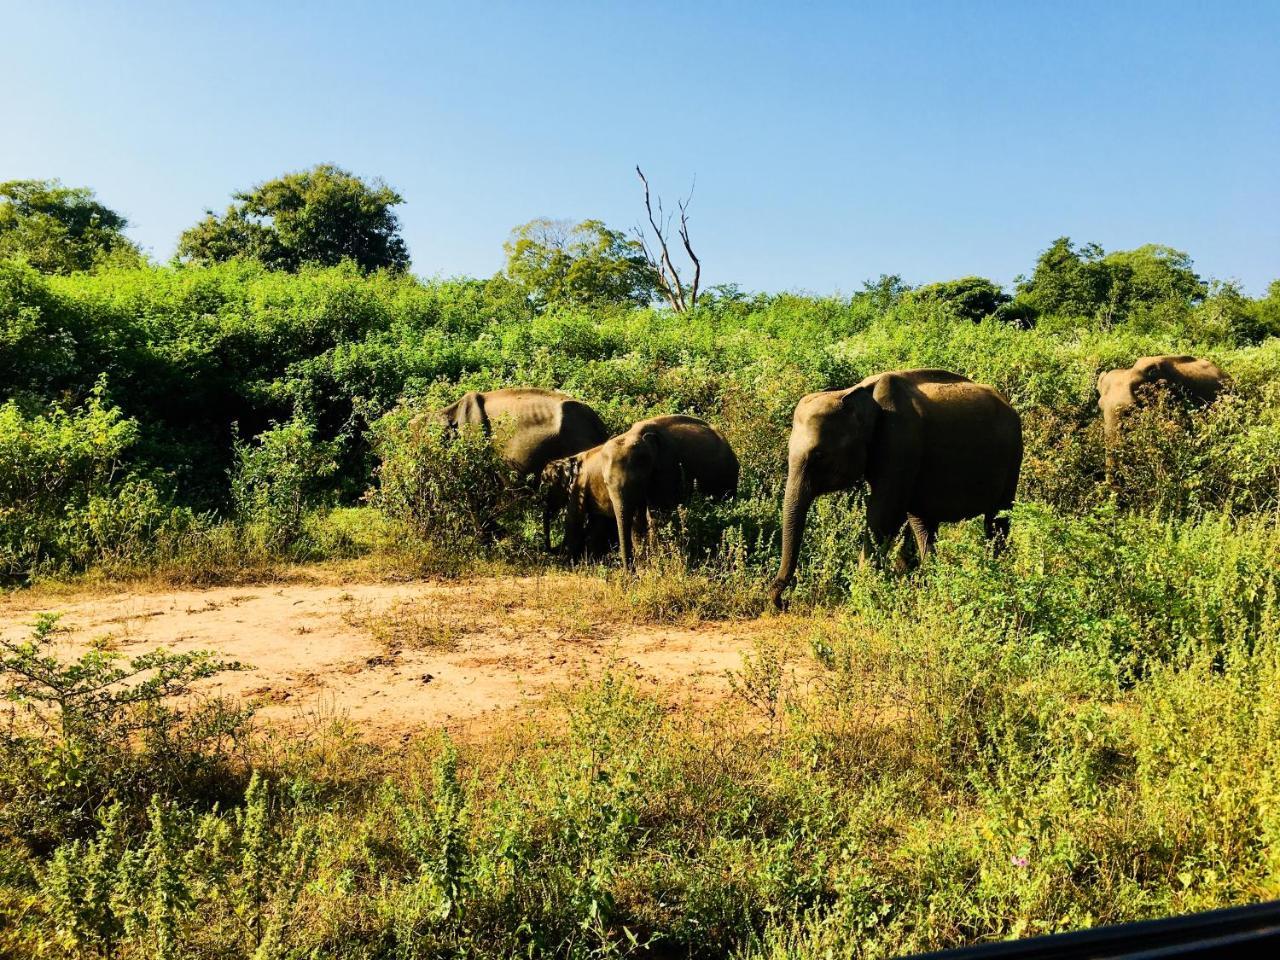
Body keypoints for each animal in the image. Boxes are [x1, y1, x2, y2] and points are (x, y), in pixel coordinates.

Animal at [540, 414, 742, 570]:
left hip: (727, 477)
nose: (630, 574)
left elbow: (656, 514)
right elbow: (637, 519)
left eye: (638, 481)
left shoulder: (667, 467)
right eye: (605, 483)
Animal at [762, 368, 1024, 609]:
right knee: (923, 521)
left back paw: (996, 570)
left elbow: (883, 513)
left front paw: (862, 592)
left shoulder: (899, 441)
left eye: (819, 455)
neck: (856, 393)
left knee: (997, 519)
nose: (783, 602)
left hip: (1013, 456)